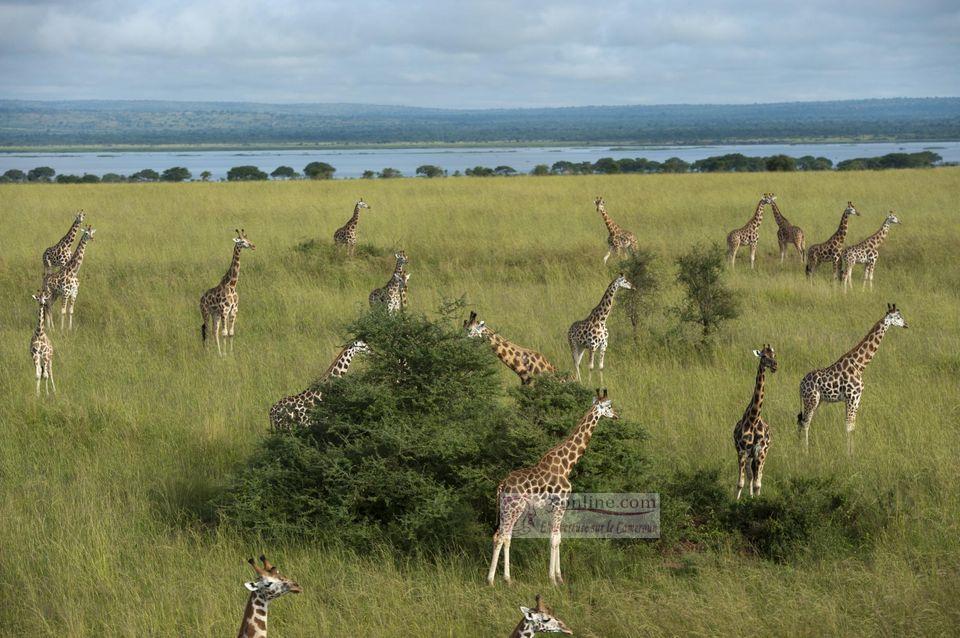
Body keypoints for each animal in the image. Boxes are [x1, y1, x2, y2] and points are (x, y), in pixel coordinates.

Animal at [200, 229, 255, 358]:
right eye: (241, 241)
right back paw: (208, 352)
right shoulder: (225, 310)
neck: (232, 285)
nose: (253, 245)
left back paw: (218, 353)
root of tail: (201, 299)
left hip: (215, 314)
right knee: (207, 330)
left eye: (248, 239)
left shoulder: (233, 310)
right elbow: (224, 333)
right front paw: (225, 355)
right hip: (206, 312)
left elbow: (231, 333)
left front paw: (230, 353)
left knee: (214, 331)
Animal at [488, 388, 624, 588]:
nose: (616, 416)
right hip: (512, 508)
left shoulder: (559, 506)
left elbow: (558, 537)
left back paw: (508, 579)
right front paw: (552, 579)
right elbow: (553, 538)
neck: (567, 464)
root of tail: (502, 484)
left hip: (511, 509)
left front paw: (560, 577)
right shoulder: (560, 503)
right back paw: (490, 580)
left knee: (505, 536)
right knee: (500, 536)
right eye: (609, 406)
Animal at [736, 344, 780, 500]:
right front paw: (737, 502)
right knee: (750, 476)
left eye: (774, 355)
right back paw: (750, 497)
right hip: (749, 456)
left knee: (757, 477)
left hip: (762, 454)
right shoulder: (742, 451)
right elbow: (741, 482)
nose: (775, 365)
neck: (754, 420)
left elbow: (757, 483)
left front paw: (757, 501)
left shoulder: (760, 452)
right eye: (764, 356)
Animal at [800, 304, 912, 458]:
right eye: (898, 317)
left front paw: (853, 452)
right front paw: (848, 455)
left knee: (802, 421)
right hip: (811, 400)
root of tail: (800, 384)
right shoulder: (852, 397)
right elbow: (848, 426)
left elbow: (852, 425)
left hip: (817, 401)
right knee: (805, 422)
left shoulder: (857, 398)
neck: (859, 365)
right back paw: (805, 452)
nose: (906, 324)